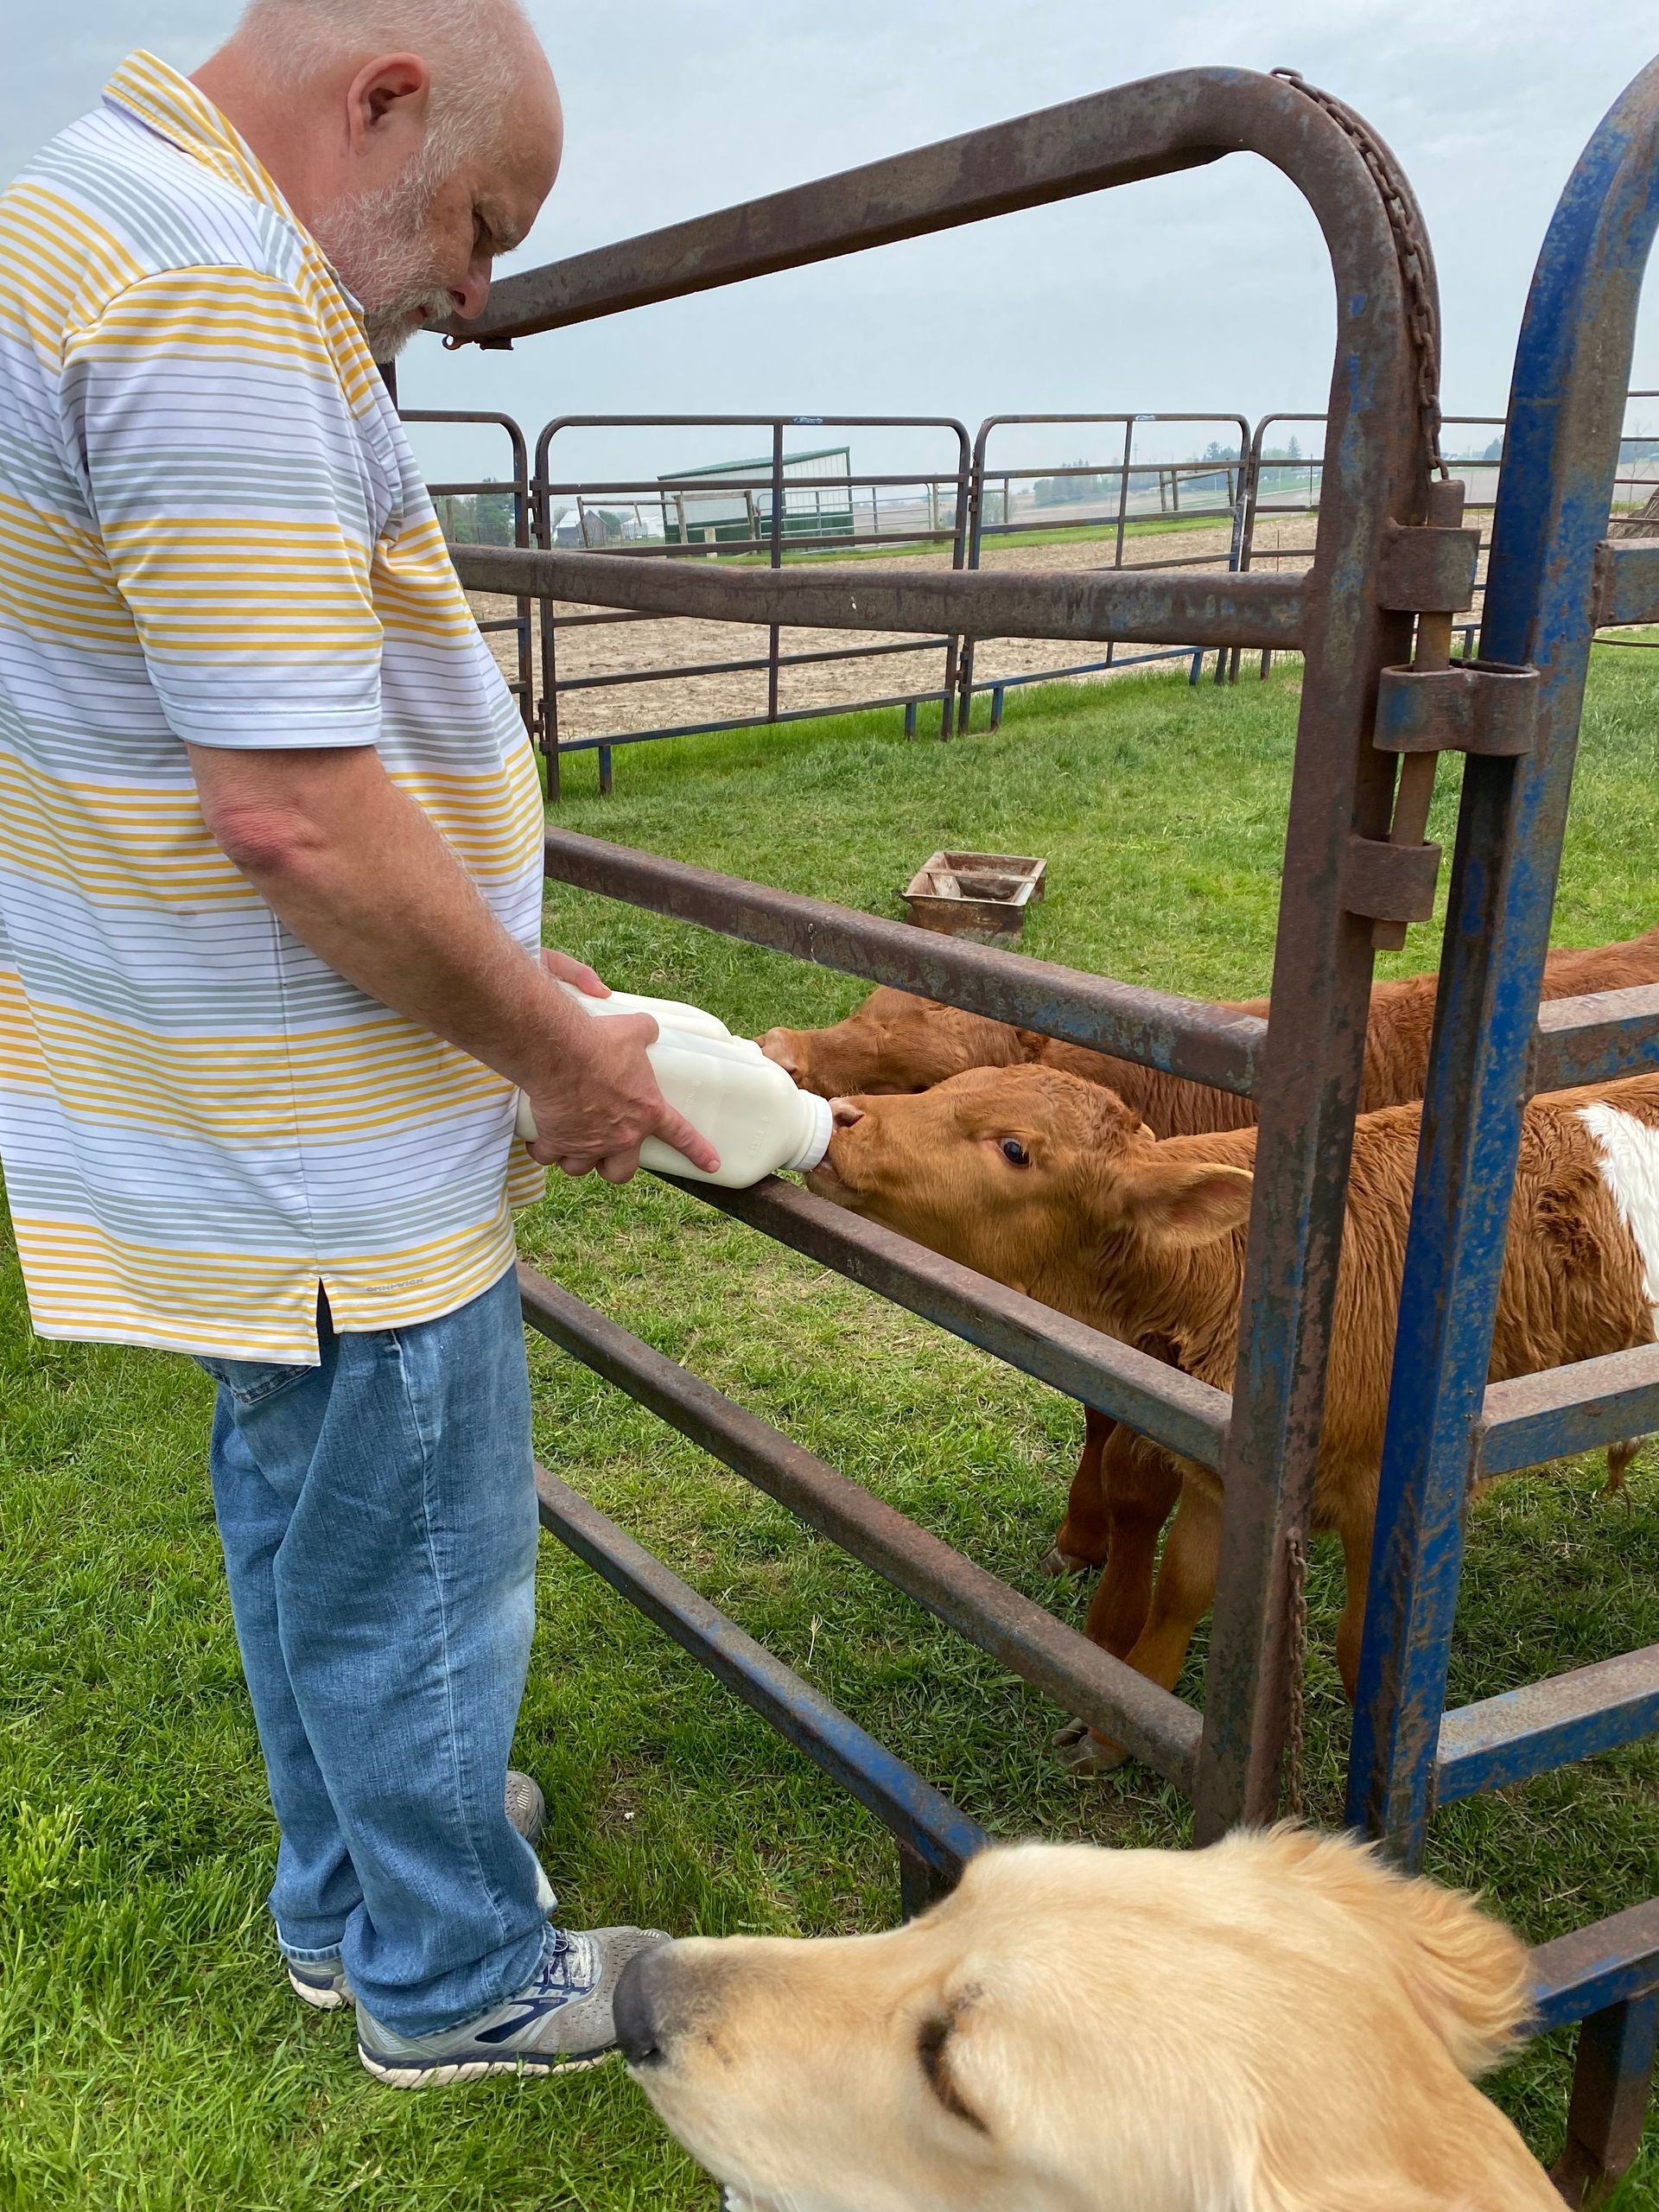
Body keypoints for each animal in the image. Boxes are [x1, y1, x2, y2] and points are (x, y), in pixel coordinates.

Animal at [809, 1065, 1659, 1760]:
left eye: (1013, 1148)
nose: (845, 1114)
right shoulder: (1220, 1476)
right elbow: (1185, 1584)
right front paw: (1123, 1726)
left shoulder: (1382, 1497)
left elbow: (1361, 1654)